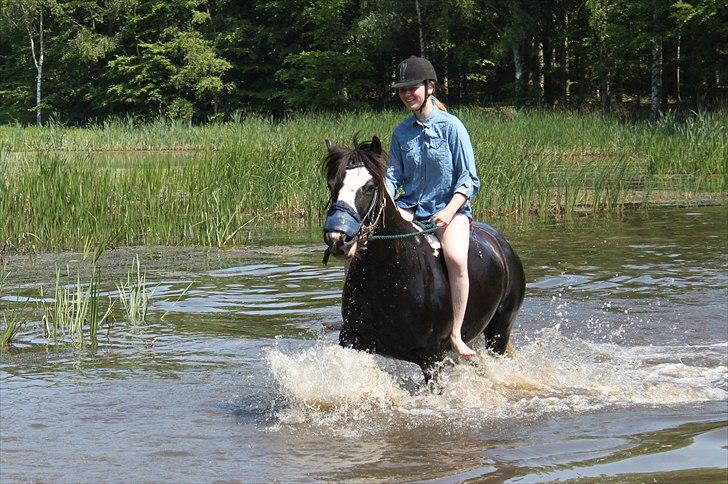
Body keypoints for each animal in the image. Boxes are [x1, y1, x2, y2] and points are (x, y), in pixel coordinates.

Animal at [322, 137, 524, 382]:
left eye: (370, 187)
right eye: (332, 185)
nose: (337, 238)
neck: (391, 272)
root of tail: (502, 245)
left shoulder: (432, 358)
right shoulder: (352, 338)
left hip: (499, 332)